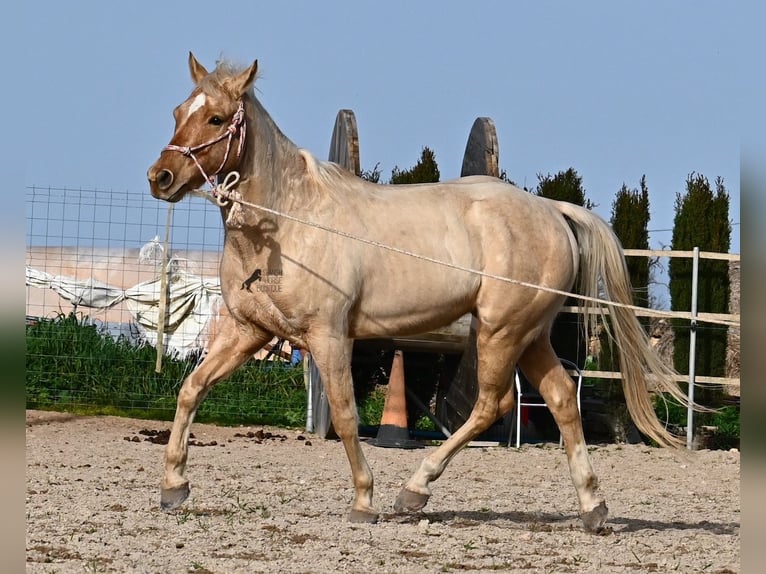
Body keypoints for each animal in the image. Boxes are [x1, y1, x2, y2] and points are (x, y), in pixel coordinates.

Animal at [147, 53, 688, 532]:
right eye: (176, 112)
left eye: (216, 117)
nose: (161, 177)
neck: (285, 226)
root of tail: (553, 210)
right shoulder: (248, 332)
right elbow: (191, 389)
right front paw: (173, 487)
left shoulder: (329, 337)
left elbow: (345, 414)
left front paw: (364, 501)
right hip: (529, 336)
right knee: (558, 398)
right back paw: (592, 509)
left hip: (501, 332)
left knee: (491, 405)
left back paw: (414, 491)